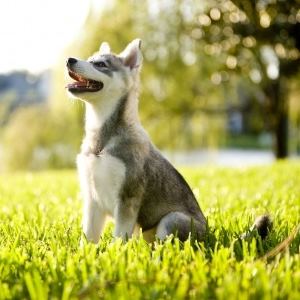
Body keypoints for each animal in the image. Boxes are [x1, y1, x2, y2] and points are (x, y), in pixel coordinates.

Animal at [66, 38, 272, 243]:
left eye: (101, 64)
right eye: (90, 59)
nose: (69, 59)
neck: (102, 140)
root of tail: (209, 236)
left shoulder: (127, 199)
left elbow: (119, 238)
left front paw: (115, 251)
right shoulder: (92, 200)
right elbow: (88, 238)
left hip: (171, 220)